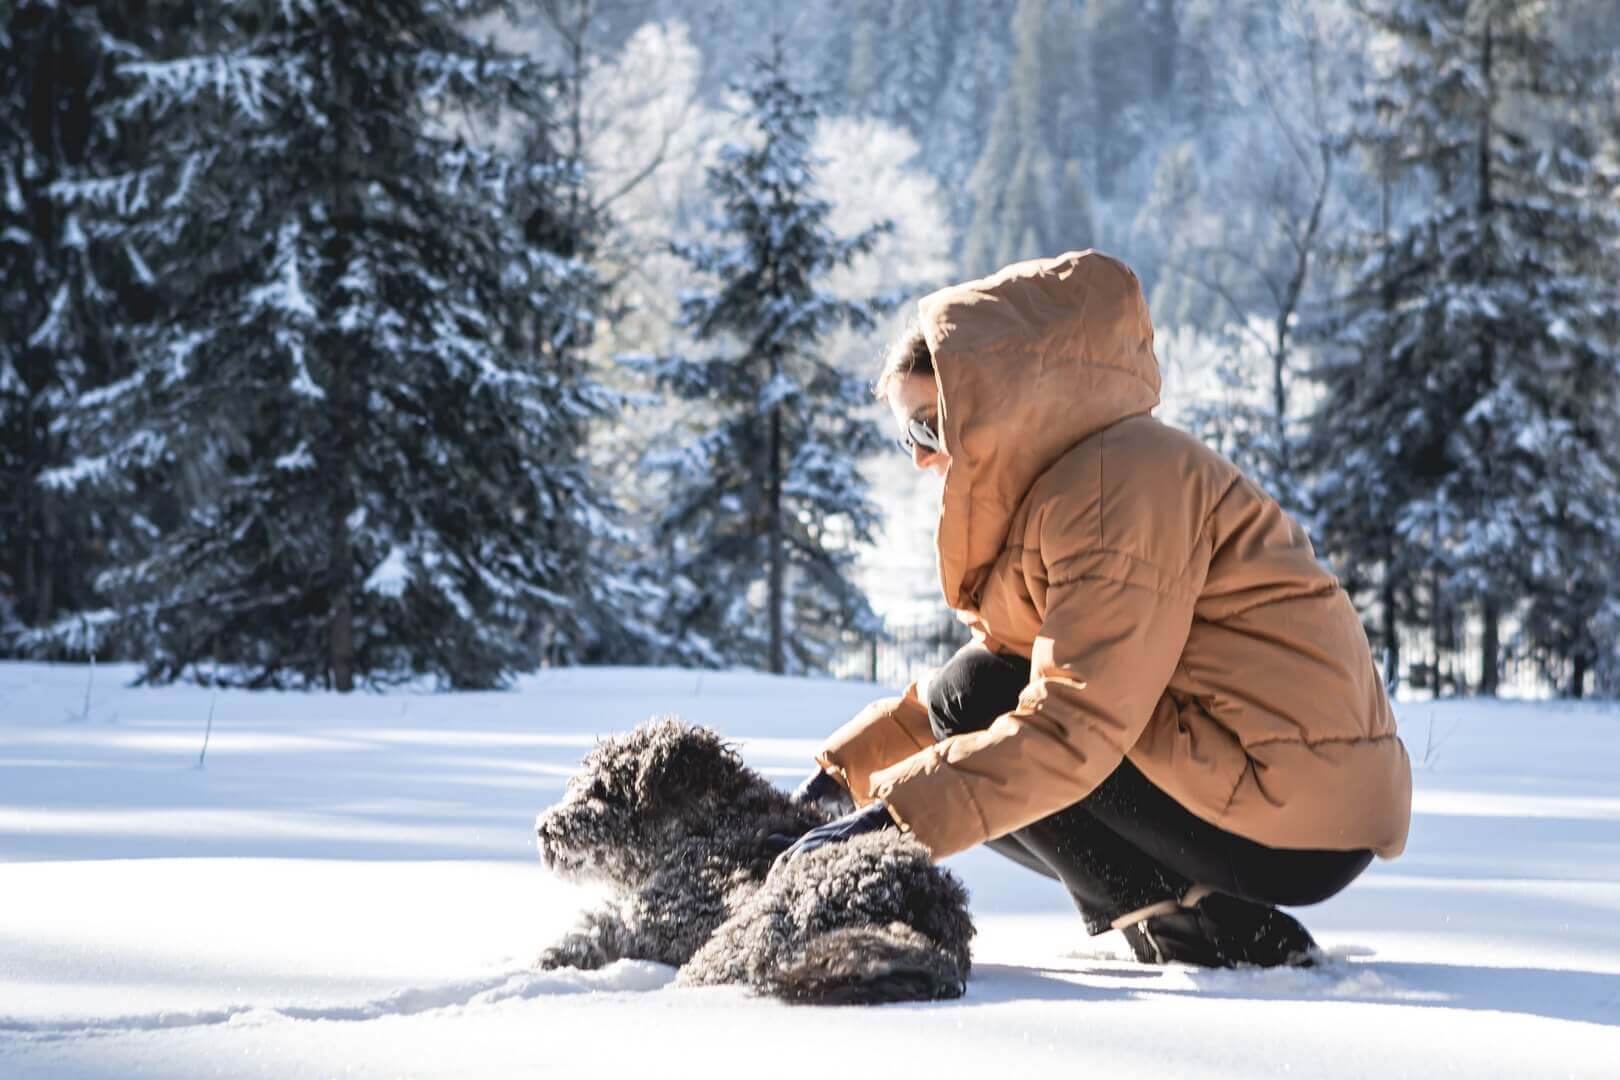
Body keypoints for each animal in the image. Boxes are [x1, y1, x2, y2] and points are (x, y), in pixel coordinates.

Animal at [537, 718, 978, 1003]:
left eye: (604, 790)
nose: (543, 829)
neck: (711, 823)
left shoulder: (664, 920)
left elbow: (598, 931)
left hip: (749, 933)